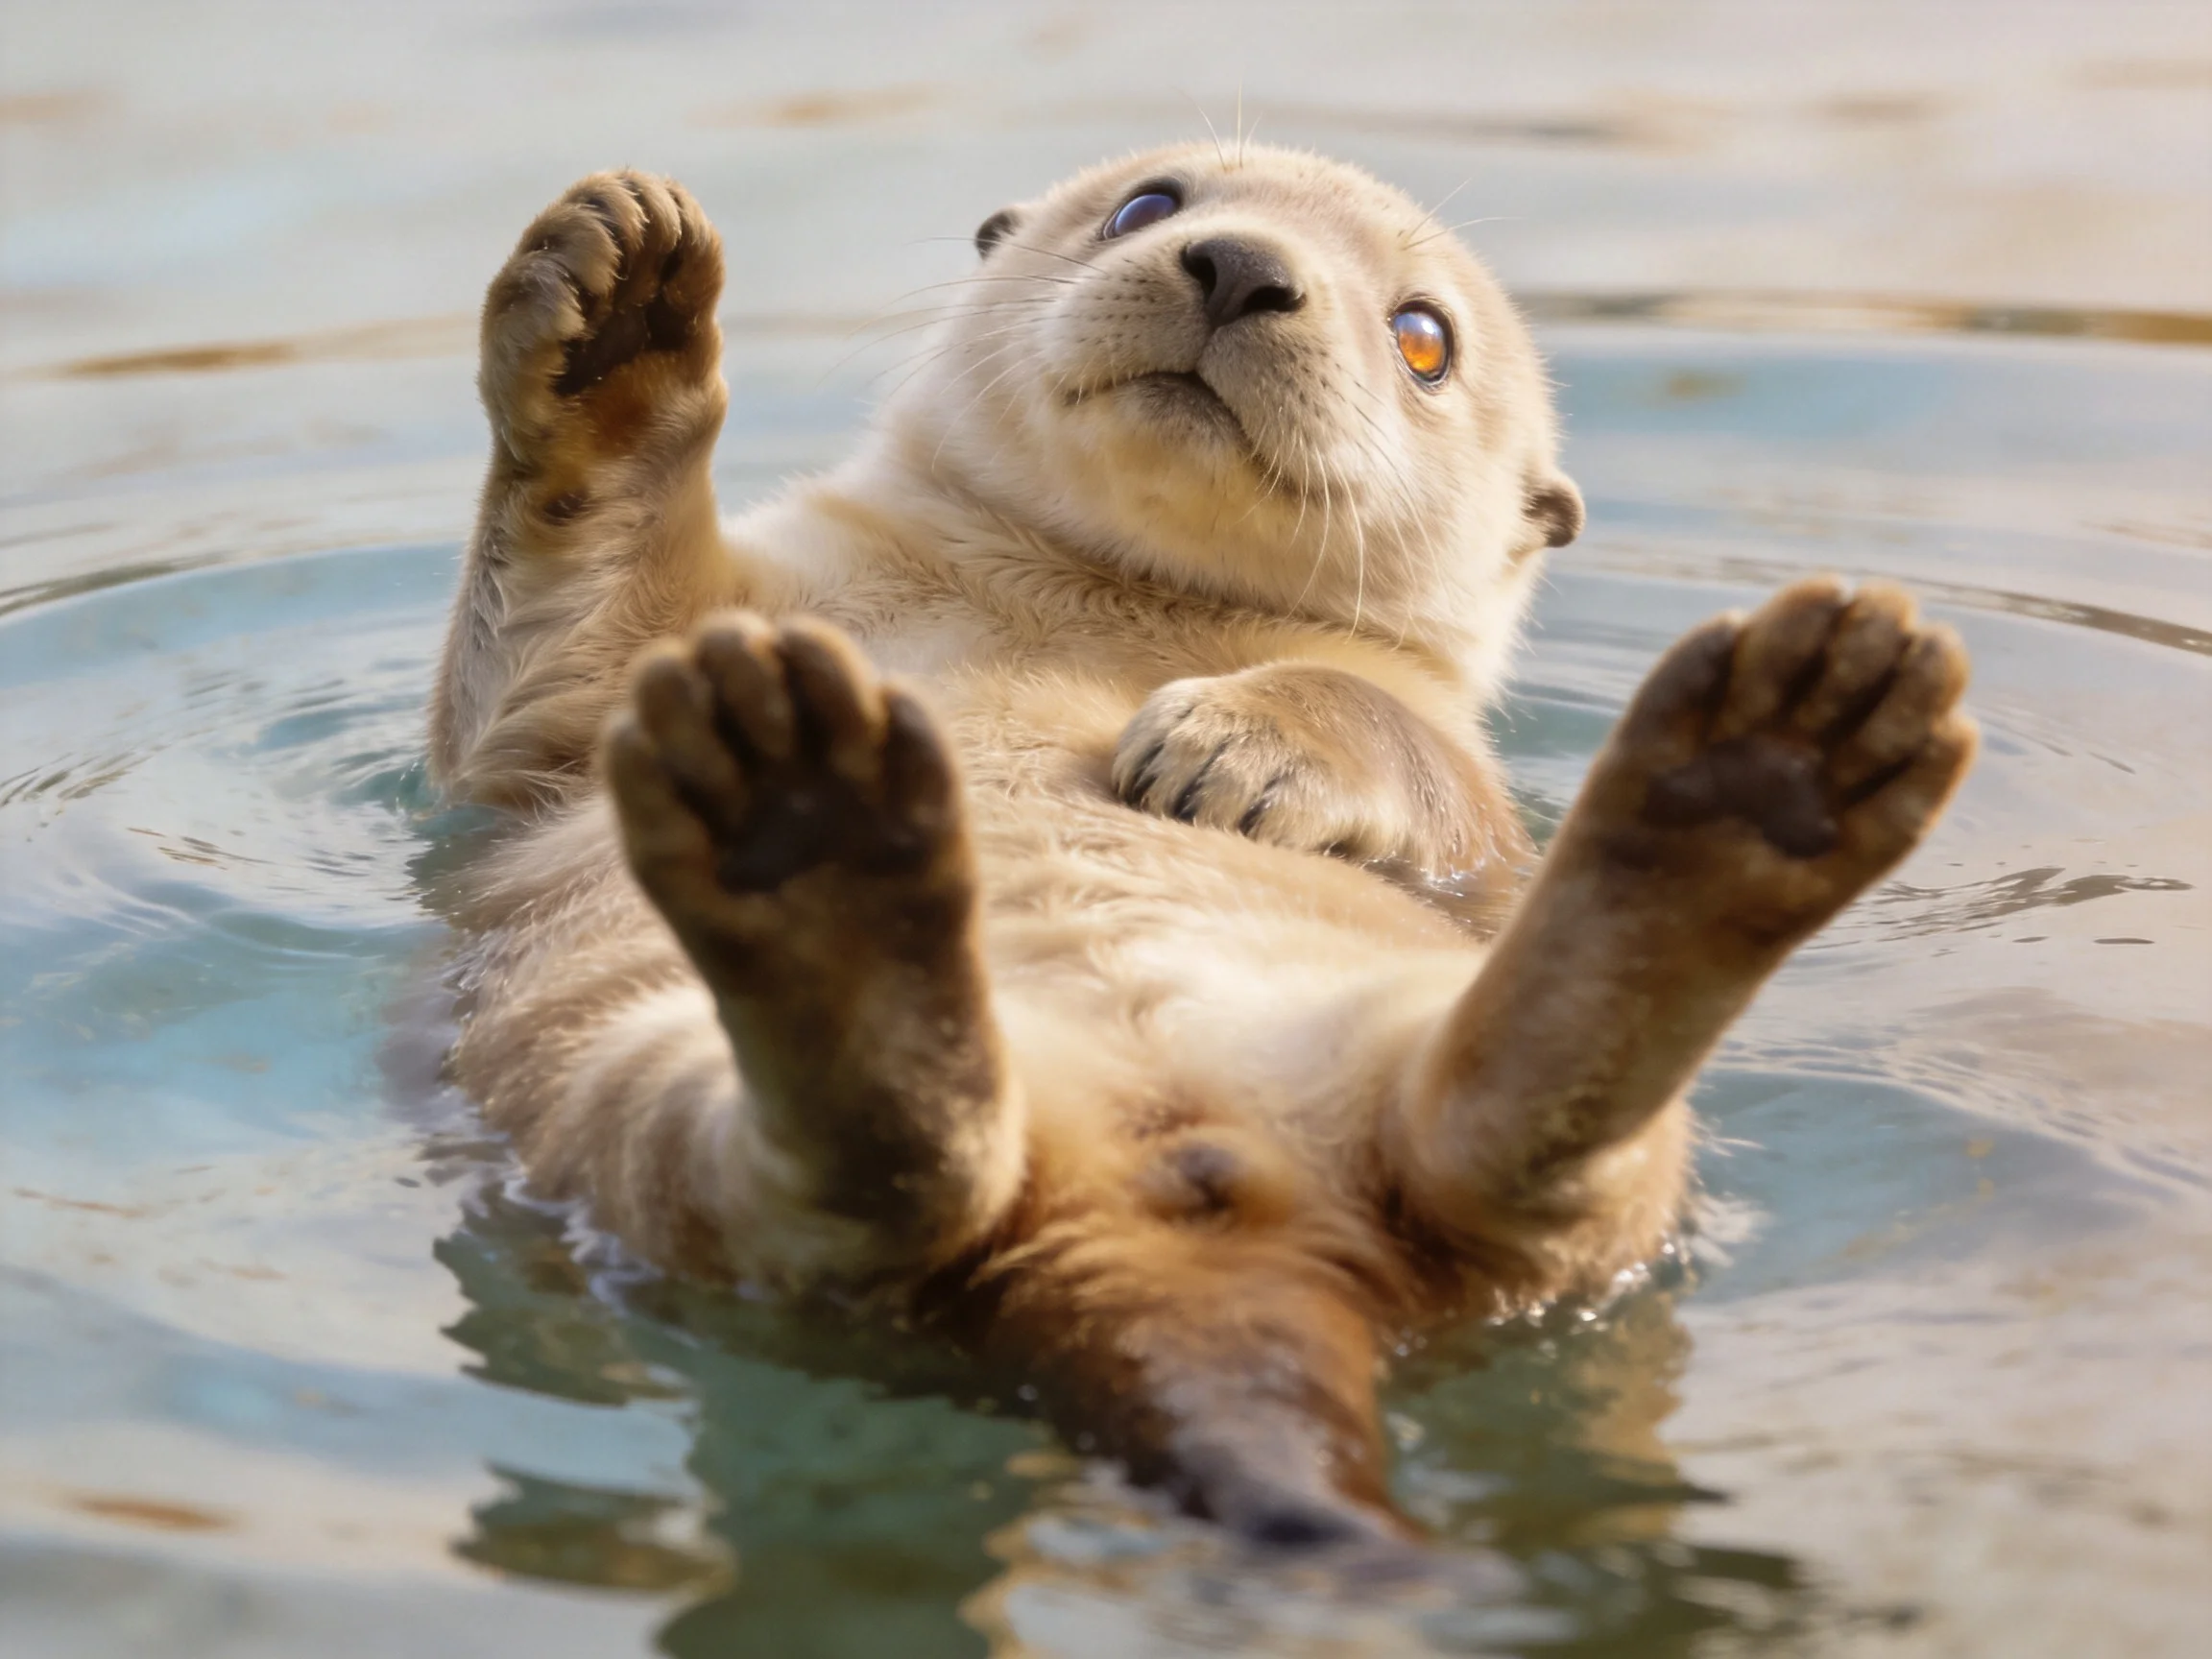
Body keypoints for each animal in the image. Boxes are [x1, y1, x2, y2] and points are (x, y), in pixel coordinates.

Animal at [426, 147, 1975, 1546]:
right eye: (1148, 203)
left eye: (1425, 338)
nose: (1239, 267)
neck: (1093, 606)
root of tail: (1176, 1226)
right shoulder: (698, 642)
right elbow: (553, 663)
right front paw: (619, 303)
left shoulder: (1464, 773)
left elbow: (1407, 751)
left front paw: (1227, 750)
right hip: (640, 1101)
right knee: (858, 1200)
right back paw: (813, 840)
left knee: (1526, 1175)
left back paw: (1770, 762)